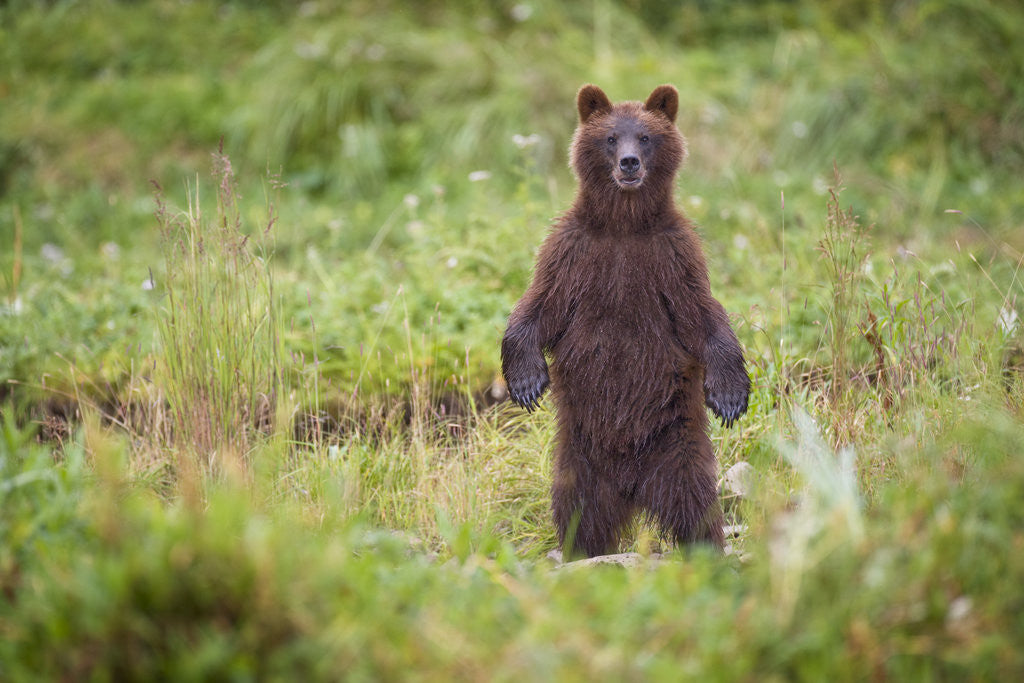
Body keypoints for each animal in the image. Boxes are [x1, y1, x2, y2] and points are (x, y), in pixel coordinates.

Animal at [501, 84, 750, 558]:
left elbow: (703, 317)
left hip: (676, 445)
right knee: (579, 510)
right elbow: (538, 307)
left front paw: (730, 394)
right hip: (579, 456)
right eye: (611, 137)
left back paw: (706, 549)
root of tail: (632, 488)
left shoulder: (671, 257)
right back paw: (581, 552)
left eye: (646, 137)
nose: (629, 162)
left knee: (696, 505)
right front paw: (525, 382)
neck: (623, 225)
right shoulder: (573, 253)